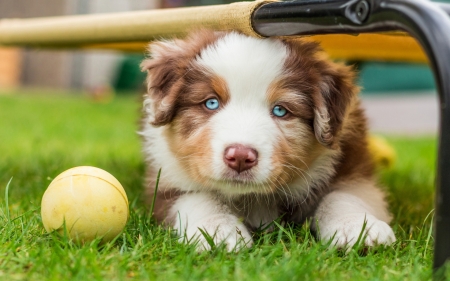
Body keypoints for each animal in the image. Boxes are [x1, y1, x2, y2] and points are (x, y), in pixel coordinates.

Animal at [139, 29, 396, 250]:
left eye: (281, 110)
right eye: (211, 103)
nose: (240, 157)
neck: (254, 197)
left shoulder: (355, 168)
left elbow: (343, 195)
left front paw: (358, 229)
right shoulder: (164, 177)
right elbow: (197, 197)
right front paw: (217, 231)